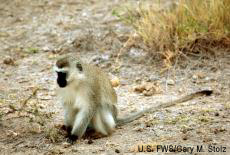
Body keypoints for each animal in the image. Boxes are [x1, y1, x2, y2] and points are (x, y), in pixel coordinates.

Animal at [53, 55, 212, 143]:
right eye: (57, 73)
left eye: (62, 74)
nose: (58, 81)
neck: (76, 81)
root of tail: (115, 118)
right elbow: (69, 106)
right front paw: (68, 130)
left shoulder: (91, 86)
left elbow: (89, 109)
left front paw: (74, 136)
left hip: (109, 118)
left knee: (98, 108)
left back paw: (103, 133)